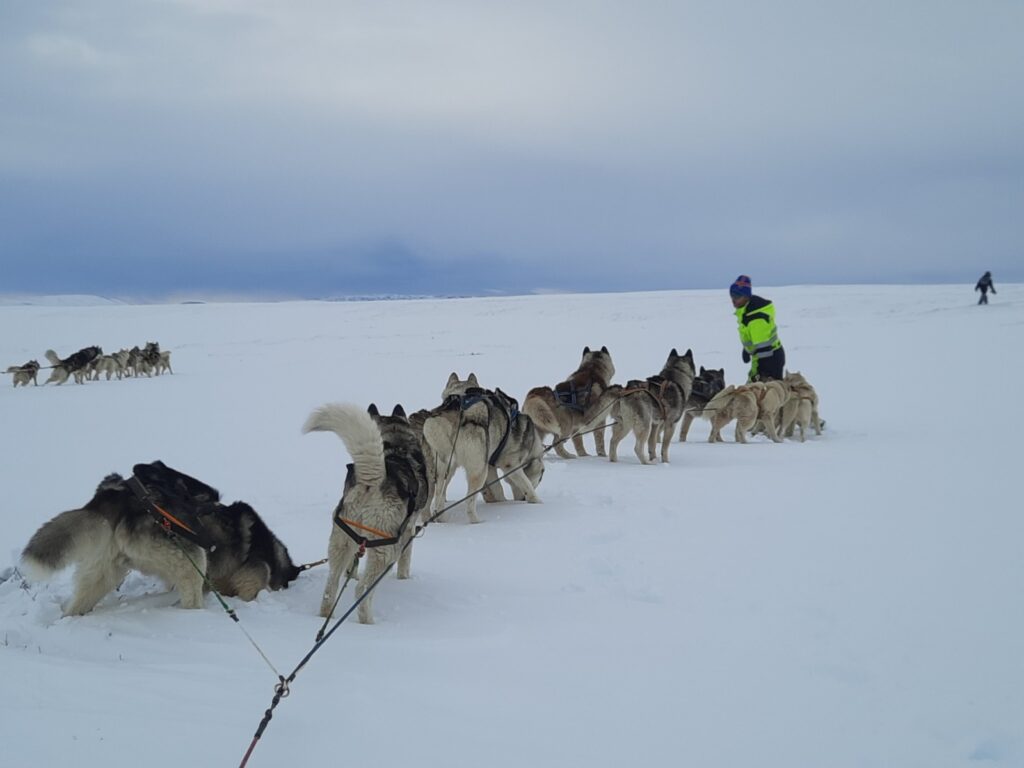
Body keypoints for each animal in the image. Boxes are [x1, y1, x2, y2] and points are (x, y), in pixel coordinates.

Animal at [303, 403, 432, 626]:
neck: (396, 447)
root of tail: (373, 480)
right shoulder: (408, 531)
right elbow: (405, 561)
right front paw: (404, 579)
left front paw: (352, 573)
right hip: (384, 549)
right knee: (362, 589)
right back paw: (368, 622)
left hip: (341, 541)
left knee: (331, 586)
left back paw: (326, 614)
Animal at [419, 376, 544, 528]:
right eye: (540, 478)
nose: (521, 499)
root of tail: (443, 417)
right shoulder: (510, 465)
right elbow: (526, 485)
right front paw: (537, 502)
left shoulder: (490, 467)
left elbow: (497, 488)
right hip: (477, 471)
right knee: (468, 503)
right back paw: (477, 522)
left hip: (438, 472)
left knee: (433, 502)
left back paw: (437, 520)